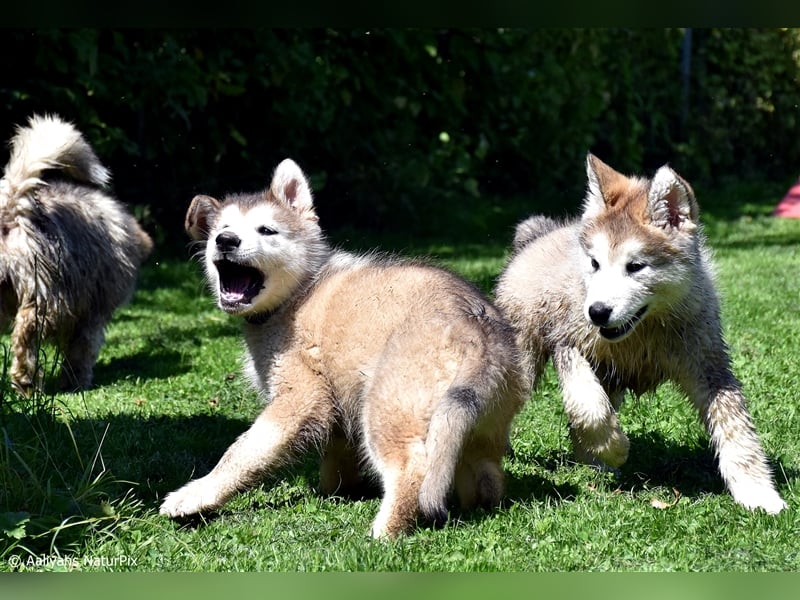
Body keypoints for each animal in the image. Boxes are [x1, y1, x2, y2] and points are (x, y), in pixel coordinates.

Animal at [0, 115, 152, 394]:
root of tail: (14, 204)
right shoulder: (92, 315)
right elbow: (82, 350)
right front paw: (76, 381)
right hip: (46, 297)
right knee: (26, 338)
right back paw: (28, 383)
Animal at [159, 157, 528, 536]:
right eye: (224, 228)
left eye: (266, 230)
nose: (226, 240)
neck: (298, 293)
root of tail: (477, 327)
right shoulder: (336, 402)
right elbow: (335, 458)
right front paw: (338, 490)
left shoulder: (298, 399)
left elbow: (240, 453)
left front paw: (194, 496)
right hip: (475, 427)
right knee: (485, 474)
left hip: (385, 410)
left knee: (412, 468)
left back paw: (382, 533)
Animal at [494, 152, 788, 512]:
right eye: (594, 263)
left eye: (635, 266)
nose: (597, 312)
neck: (644, 330)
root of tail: (540, 236)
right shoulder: (567, 343)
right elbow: (589, 406)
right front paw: (615, 447)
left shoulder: (709, 366)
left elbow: (737, 429)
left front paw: (758, 493)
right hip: (526, 359)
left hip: (613, 377)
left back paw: (593, 463)